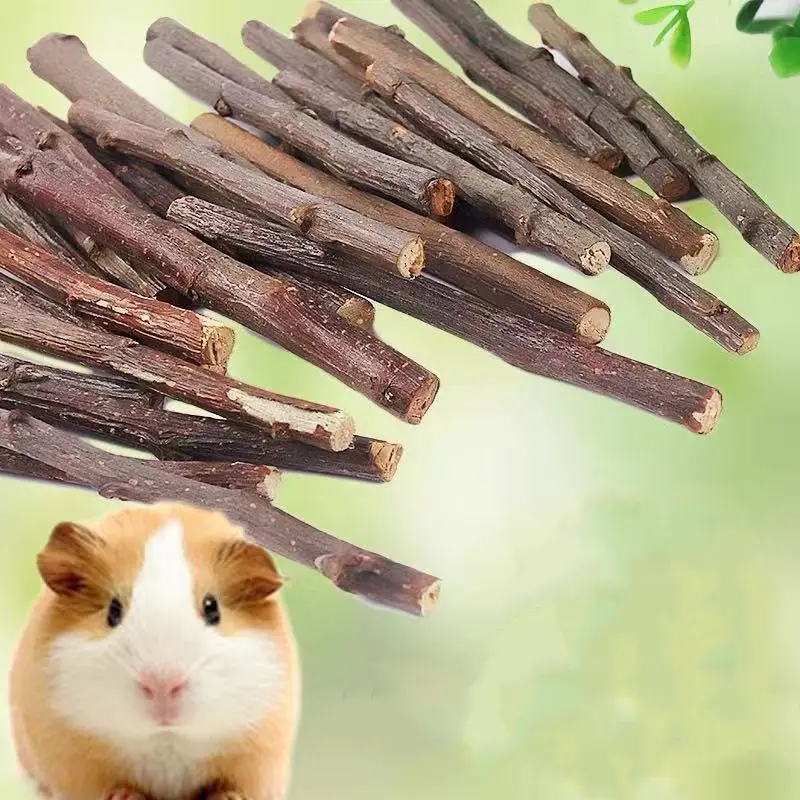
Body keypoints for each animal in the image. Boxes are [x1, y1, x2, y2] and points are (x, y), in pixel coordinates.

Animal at [9, 502, 300, 800]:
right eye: (113, 611)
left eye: (212, 608)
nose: (162, 685)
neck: (166, 739)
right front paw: (124, 796)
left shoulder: (258, 753)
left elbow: (233, 785)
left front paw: (228, 797)